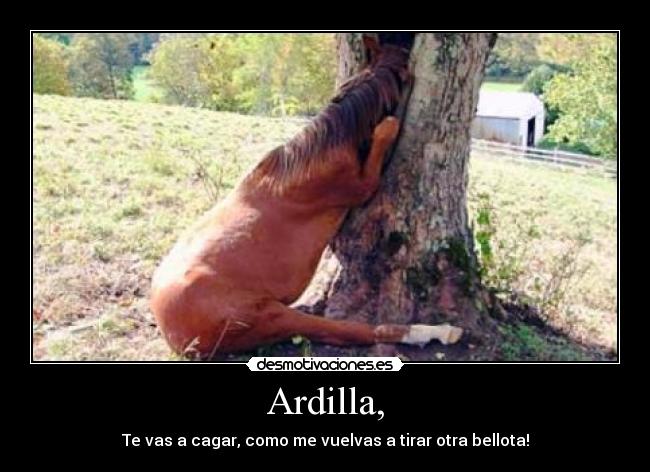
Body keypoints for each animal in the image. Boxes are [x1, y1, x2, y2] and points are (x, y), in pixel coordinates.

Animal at [150, 37, 463, 359]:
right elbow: (387, 129)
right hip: (271, 317)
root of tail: (171, 332)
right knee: (351, 329)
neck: (323, 149)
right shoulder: (363, 185)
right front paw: (388, 125)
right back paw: (435, 331)